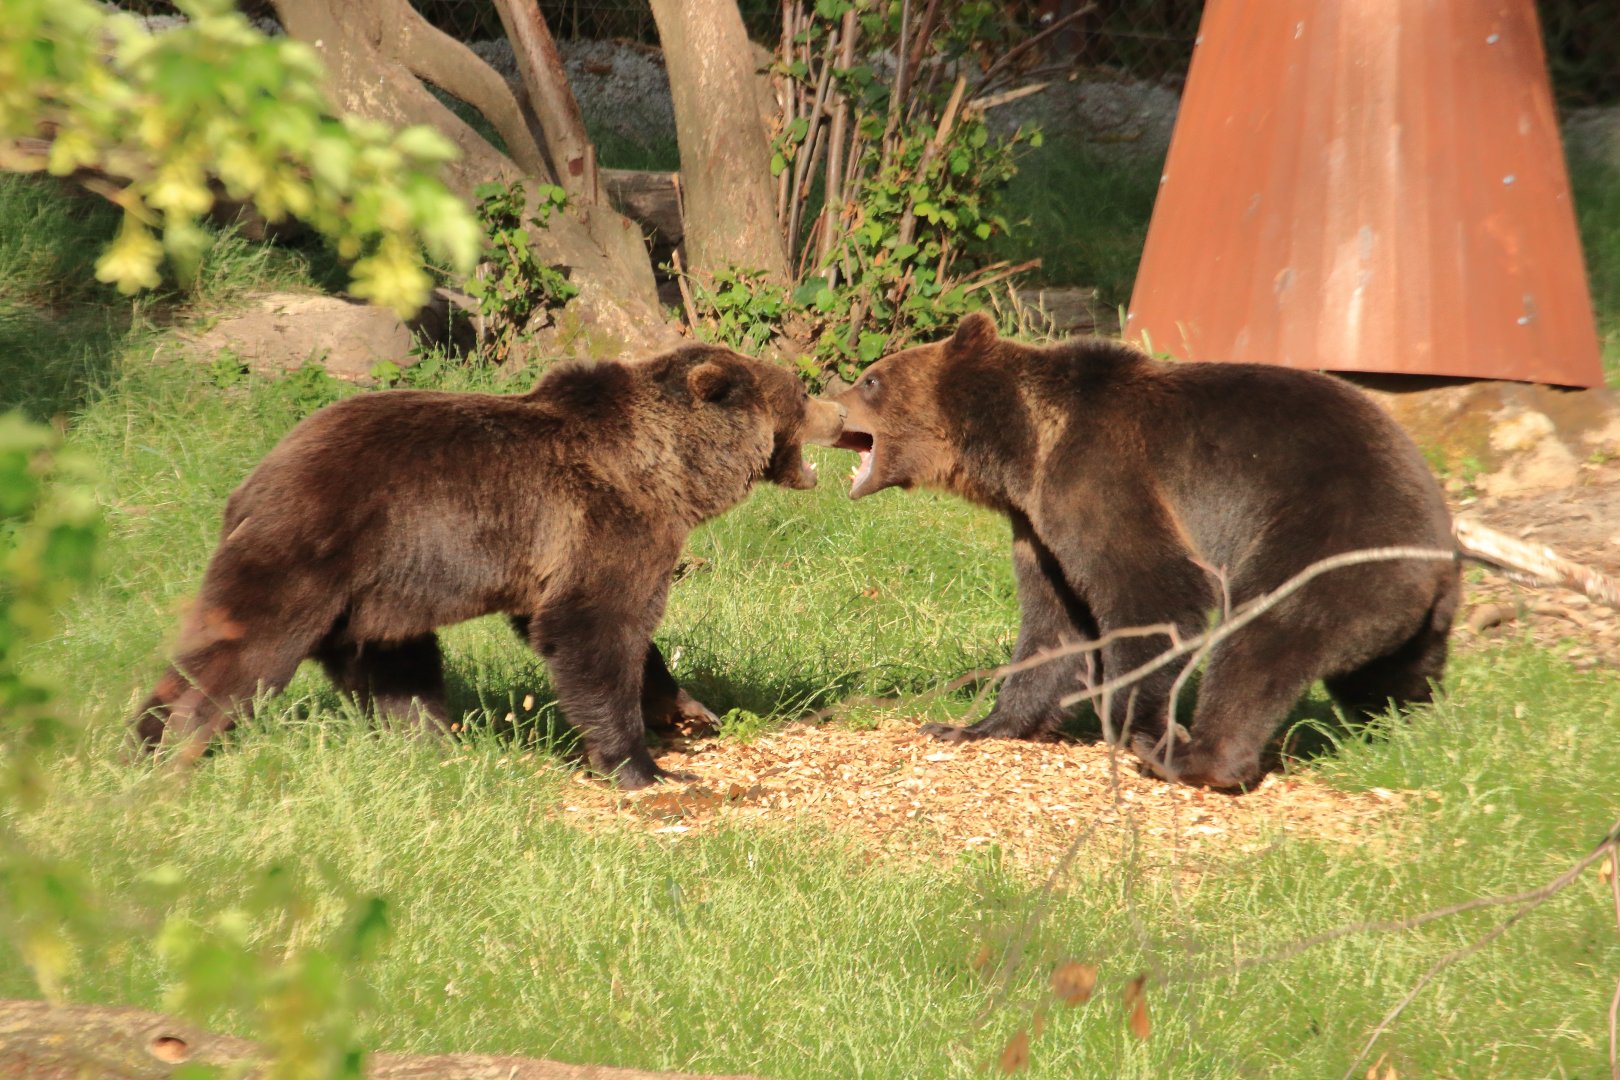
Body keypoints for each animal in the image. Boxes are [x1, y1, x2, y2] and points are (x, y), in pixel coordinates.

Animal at [132, 344, 845, 789]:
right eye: (799, 391)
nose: (840, 411)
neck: (669, 472)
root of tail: (250, 484)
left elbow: (604, 636)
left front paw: (689, 708)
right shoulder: (605, 523)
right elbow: (595, 628)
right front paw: (643, 766)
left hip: (377, 591)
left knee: (391, 669)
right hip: (318, 549)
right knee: (247, 652)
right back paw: (177, 748)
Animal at [827, 311, 1458, 790]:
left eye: (871, 379)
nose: (832, 404)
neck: (1021, 449)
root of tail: (1442, 548)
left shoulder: (1101, 473)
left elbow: (1154, 591)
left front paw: (1140, 724)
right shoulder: (1038, 525)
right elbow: (1055, 625)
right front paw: (971, 725)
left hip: (1331, 537)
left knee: (1265, 636)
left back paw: (1195, 758)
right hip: (1404, 610)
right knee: (1389, 676)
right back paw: (1410, 730)